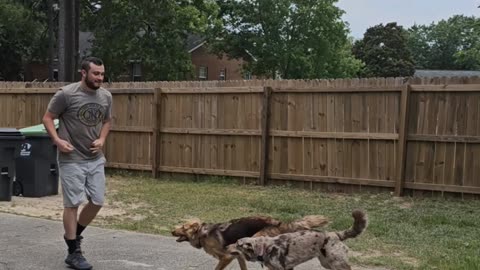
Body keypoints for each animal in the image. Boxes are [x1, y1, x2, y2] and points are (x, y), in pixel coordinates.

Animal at [172, 215, 330, 270]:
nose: (172, 231)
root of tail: (280, 223)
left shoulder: (227, 256)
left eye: (183, 227)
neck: (202, 233)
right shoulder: (238, 255)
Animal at [229, 211, 368, 270]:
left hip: (337, 263)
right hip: (327, 263)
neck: (264, 247)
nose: (226, 247)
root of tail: (336, 234)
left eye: (237, 244)